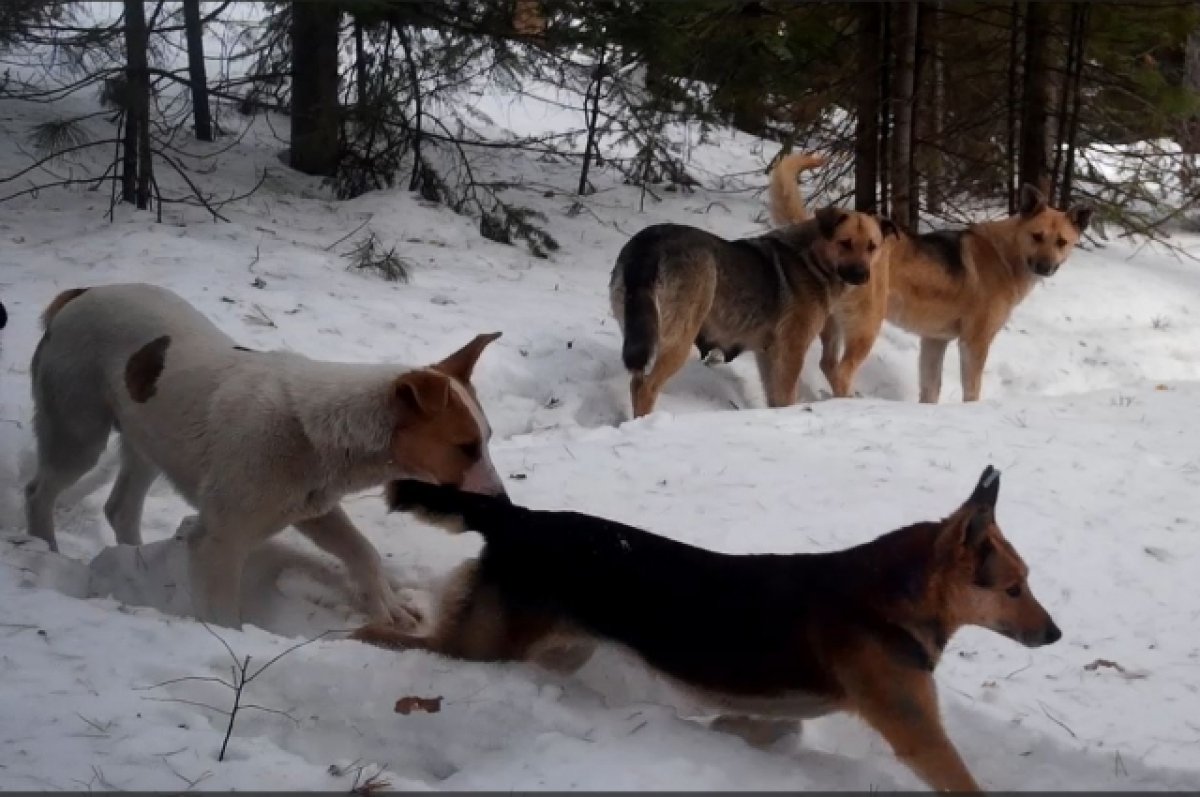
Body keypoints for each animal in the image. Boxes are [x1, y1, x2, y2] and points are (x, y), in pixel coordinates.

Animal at [614, 205, 897, 417]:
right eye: (844, 243)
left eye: (872, 246)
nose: (862, 276)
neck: (811, 259)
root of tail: (650, 242)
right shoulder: (792, 350)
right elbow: (786, 396)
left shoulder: (767, 354)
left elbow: (774, 399)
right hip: (678, 339)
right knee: (646, 387)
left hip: (641, 332)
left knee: (635, 381)